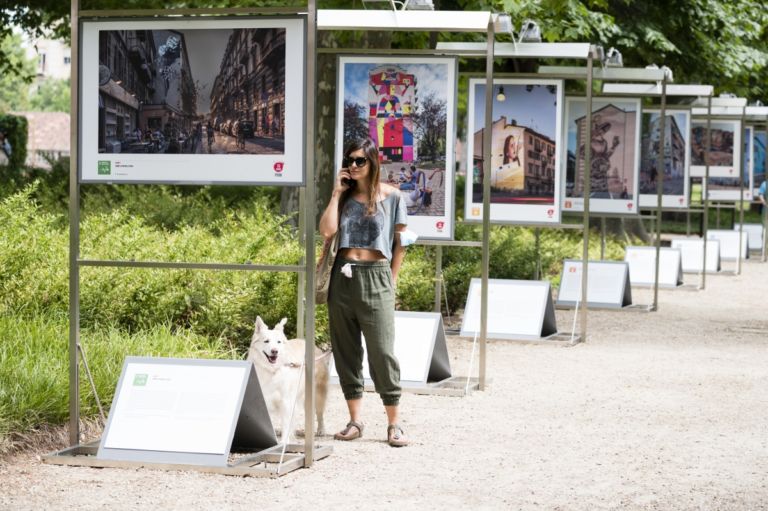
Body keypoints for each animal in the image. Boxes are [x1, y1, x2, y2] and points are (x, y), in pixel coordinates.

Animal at [248, 316, 328, 444]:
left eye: (278, 342)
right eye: (266, 341)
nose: (274, 351)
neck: (272, 370)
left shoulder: (286, 401)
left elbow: (286, 424)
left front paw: (283, 442)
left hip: (318, 394)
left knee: (319, 413)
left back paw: (321, 430)